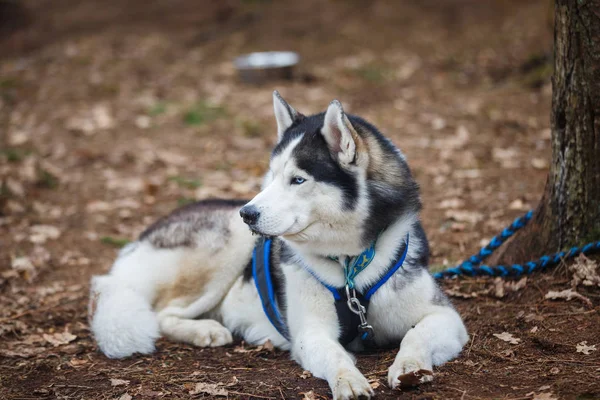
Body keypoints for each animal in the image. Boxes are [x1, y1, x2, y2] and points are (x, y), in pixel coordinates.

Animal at [91, 91, 472, 400]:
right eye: (271, 177)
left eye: (298, 180)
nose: (248, 213)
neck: (351, 264)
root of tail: (144, 235)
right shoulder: (311, 331)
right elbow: (335, 355)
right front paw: (349, 380)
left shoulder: (445, 317)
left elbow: (416, 336)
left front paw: (409, 368)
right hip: (230, 245)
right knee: (163, 313)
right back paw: (204, 331)